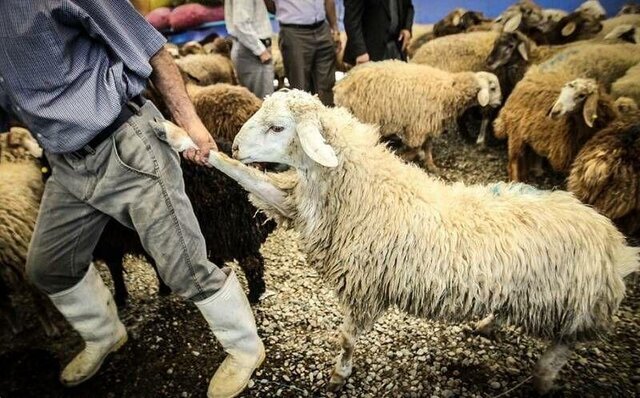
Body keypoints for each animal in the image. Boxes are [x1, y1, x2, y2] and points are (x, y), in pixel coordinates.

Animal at [332, 59, 502, 170]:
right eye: (493, 88)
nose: (500, 103)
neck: (449, 90)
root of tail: (341, 84)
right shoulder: (418, 126)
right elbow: (416, 147)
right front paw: (403, 157)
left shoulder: (429, 124)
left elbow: (428, 146)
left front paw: (431, 165)